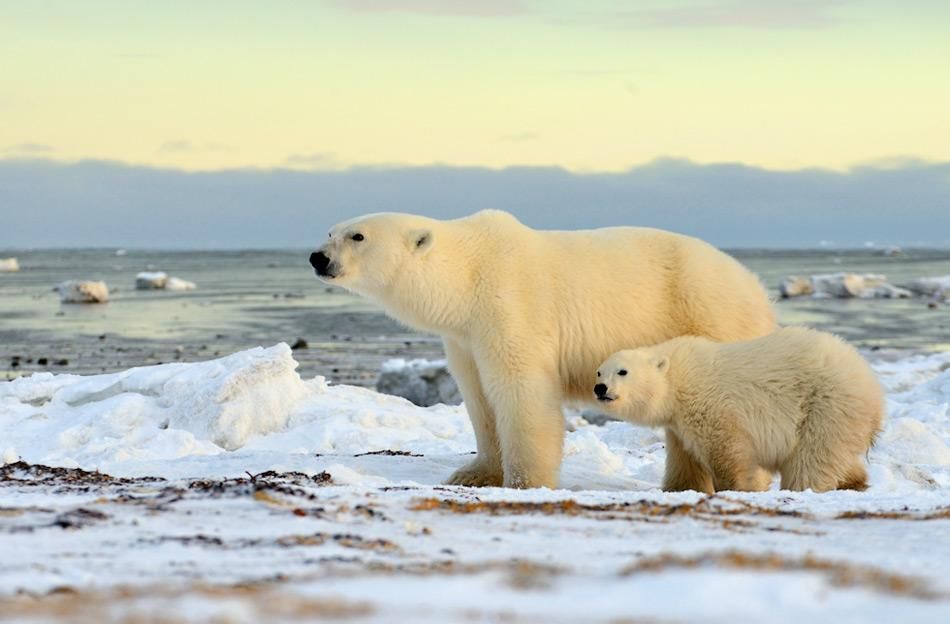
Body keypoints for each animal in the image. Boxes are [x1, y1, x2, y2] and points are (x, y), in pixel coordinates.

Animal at [308, 210, 776, 488]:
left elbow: (521, 391)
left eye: (358, 236)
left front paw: (525, 482)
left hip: (711, 318)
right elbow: (479, 399)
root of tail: (757, 288)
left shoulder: (510, 306)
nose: (317, 257)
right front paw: (473, 473)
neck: (469, 273)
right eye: (329, 231)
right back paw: (683, 485)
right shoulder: (465, 336)